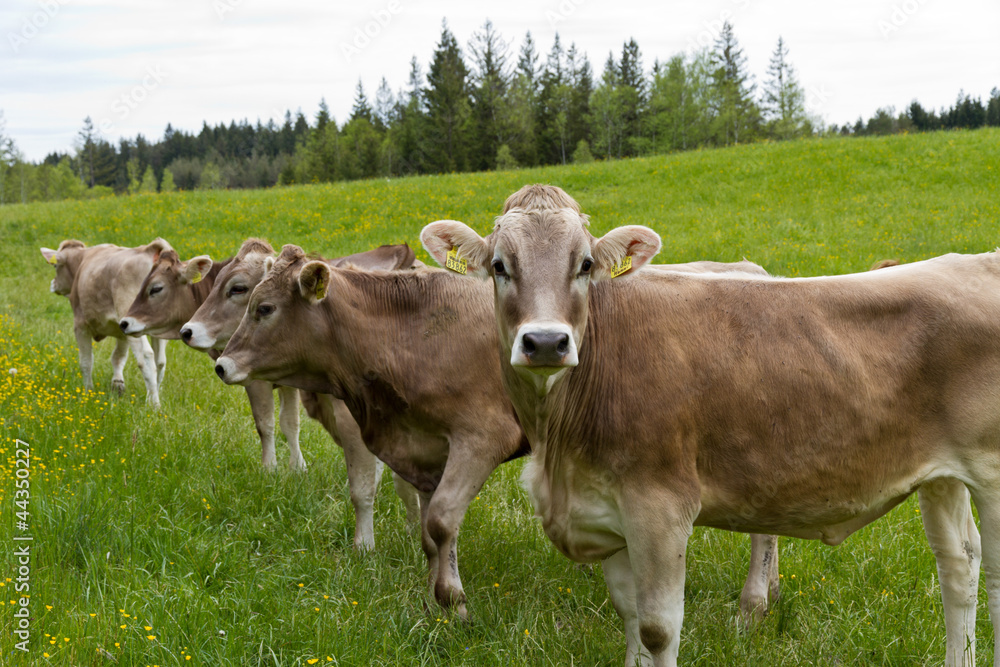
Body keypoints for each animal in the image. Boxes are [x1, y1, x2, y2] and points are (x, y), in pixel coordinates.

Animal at [39, 237, 171, 410]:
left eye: (55, 266)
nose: (53, 284)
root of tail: (148, 249)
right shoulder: (122, 330)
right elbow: (118, 357)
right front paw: (117, 385)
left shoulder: (80, 325)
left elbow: (86, 361)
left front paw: (88, 392)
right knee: (160, 361)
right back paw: (153, 394)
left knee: (146, 357)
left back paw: (154, 405)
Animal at [420, 196, 992, 664]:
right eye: (500, 266)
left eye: (584, 265)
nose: (544, 342)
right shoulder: (608, 512)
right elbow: (631, 623)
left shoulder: (660, 508)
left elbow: (656, 630)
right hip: (942, 475)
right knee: (960, 566)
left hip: (990, 470)